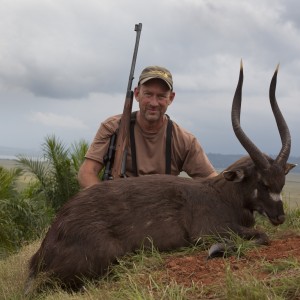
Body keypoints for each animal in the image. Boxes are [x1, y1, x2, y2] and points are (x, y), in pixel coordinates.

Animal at [25, 63, 296, 292]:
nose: (279, 217)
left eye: (281, 182)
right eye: (262, 182)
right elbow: (261, 236)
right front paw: (217, 250)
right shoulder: (209, 232)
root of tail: (42, 254)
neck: (223, 194)